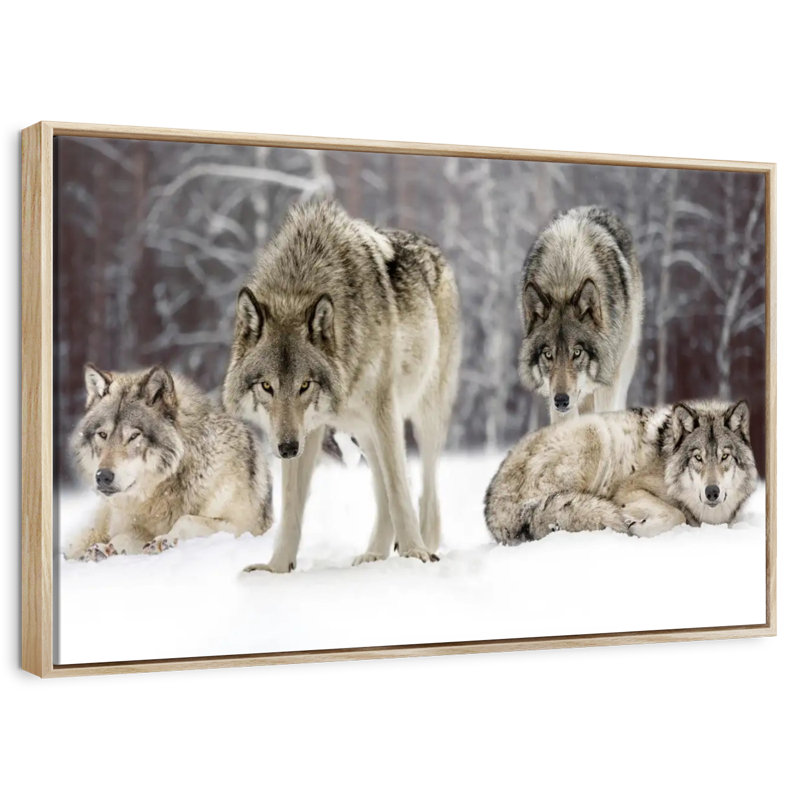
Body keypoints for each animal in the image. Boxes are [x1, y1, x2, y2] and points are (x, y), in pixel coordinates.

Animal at [67, 364, 272, 560]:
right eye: (103, 435)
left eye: (134, 436)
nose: (103, 476)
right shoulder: (134, 526)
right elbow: (125, 536)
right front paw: (106, 549)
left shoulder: (244, 527)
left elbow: (185, 520)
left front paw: (163, 540)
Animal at [223, 200, 461, 572]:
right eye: (267, 386)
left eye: (305, 384)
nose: (287, 449)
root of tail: (433, 247)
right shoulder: (305, 430)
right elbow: (291, 508)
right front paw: (276, 569)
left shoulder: (384, 409)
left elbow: (399, 489)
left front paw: (414, 552)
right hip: (363, 431)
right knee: (383, 490)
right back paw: (374, 555)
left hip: (423, 417)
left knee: (423, 492)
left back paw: (423, 545)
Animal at [484, 400, 757, 544]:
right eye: (698, 458)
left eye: (724, 456)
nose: (712, 492)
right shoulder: (629, 488)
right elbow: (676, 514)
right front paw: (636, 526)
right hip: (595, 431)